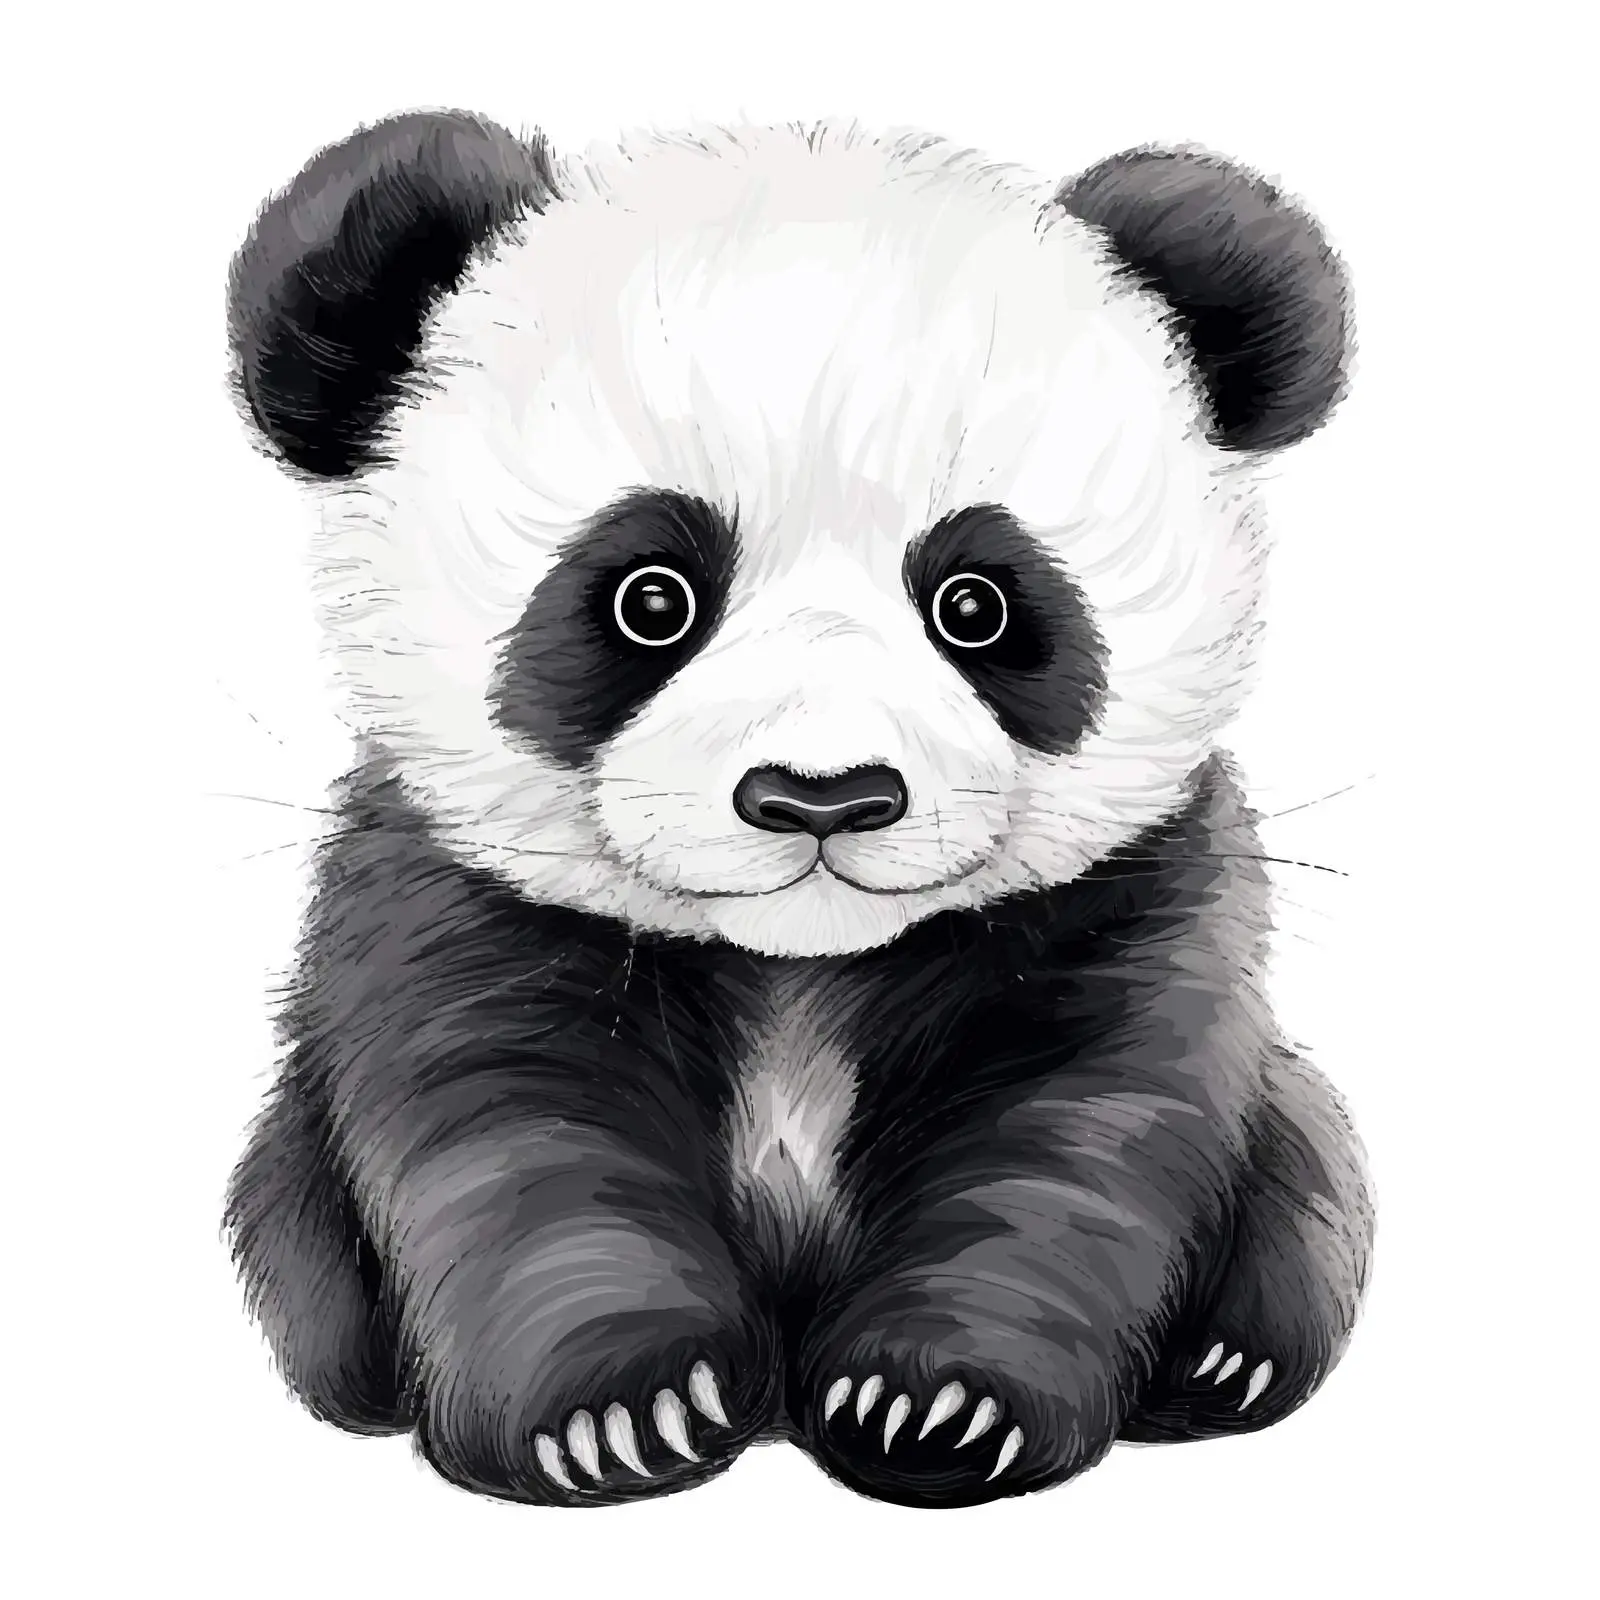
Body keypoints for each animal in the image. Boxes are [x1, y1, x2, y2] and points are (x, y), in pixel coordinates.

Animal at [223, 110, 1374, 1510]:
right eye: (648, 597)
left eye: (978, 602)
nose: (822, 796)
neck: (797, 969)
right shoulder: (440, 891)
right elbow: (508, 1130)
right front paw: (617, 1413)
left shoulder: (1138, 893)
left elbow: (1071, 1140)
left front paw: (936, 1406)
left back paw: (1225, 1361)